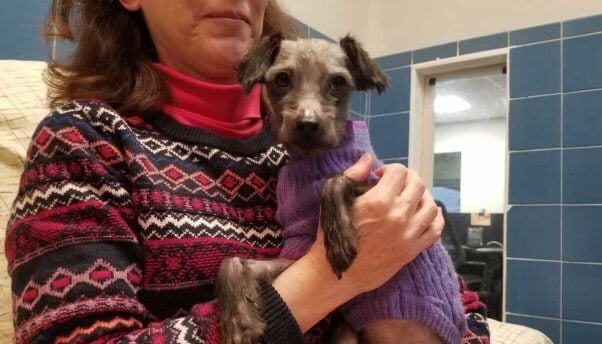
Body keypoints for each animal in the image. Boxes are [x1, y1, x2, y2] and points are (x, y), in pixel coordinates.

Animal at [218, 34, 386, 344]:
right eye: (282, 79)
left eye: (339, 82)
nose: (308, 124)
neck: (312, 158)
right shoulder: (295, 256)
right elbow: (231, 262)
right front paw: (238, 320)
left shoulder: (382, 180)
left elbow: (333, 181)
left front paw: (339, 239)